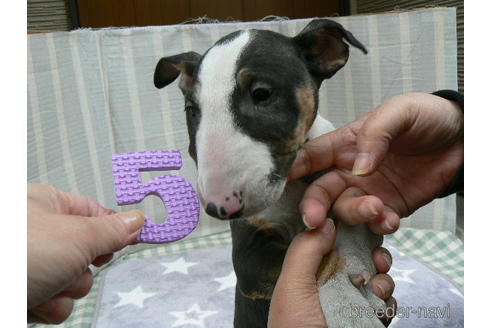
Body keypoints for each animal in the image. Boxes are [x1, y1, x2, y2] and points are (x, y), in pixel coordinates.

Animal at [156, 18, 386, 328]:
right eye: (192, 110)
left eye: (261, 94)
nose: (220, 208)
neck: (294, 181)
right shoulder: (249, 256)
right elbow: (319, 259)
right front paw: (345, 306)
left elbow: (353, 231)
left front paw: (359, 272)